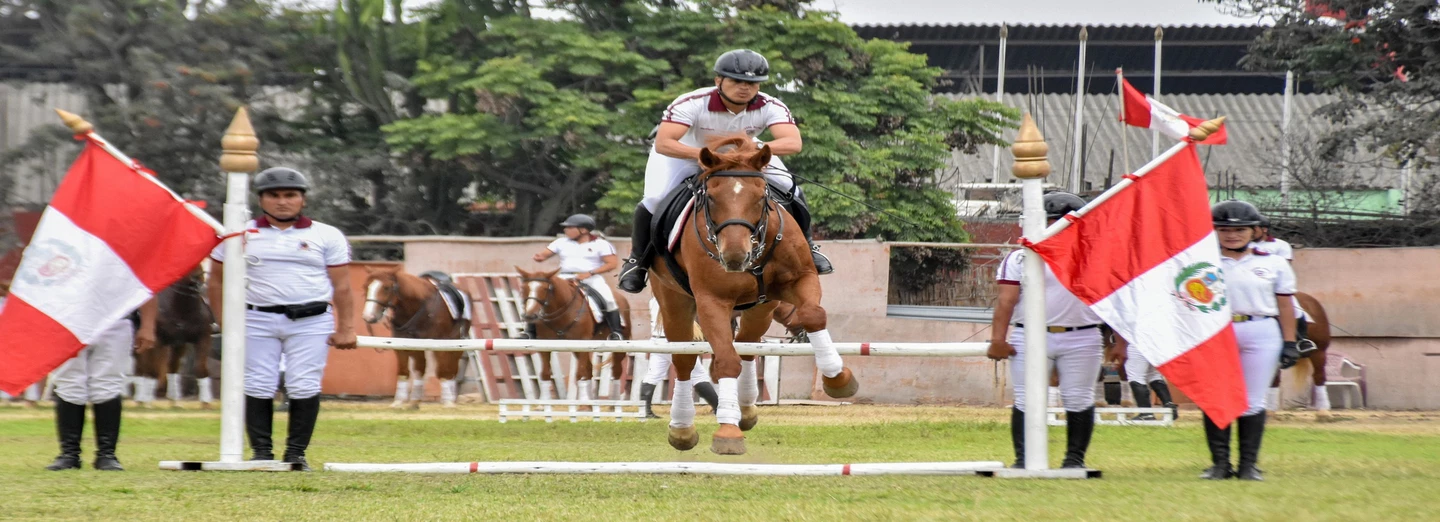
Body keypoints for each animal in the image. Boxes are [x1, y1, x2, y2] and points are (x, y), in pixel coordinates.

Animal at [134, 267, 215, 408]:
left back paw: (174, 400)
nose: (198, 279)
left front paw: (205, 402)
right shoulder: (157, 341)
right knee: (142, 367)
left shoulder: (202, 339)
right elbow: (154, 371)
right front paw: (148, 402)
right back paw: (142, 399)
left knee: (172, 366)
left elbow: (201, 369)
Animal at [362, 266, 473, 409]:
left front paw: (448, 402)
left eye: (386, 287)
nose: (368, 317)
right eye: (366, 286)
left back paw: (450, 398)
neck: (419, 307)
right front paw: (398, 402)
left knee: (451, 368)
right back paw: (415, 401)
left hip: (456, 343)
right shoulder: (402, 344)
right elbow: (404, 371)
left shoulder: (442, 343)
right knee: (421, 368)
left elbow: (443, 371)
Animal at [515, 267, 632, 403]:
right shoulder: (544, 345)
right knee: (589, 370)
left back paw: (614, 402)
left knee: (616, 371)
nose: (529, 316)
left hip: (618, 347)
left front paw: (583, 401)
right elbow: (545, 373)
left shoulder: (582, 342)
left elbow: (580, 373)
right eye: (523, 288)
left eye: (545, 289)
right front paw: (543, 402)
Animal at [648, 135, 856, 455]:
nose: (735, 256)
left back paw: (745, 408)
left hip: (762, 307)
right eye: (711, 198)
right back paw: (683, 428)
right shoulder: (712, 302)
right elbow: (725, 360)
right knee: (685, 360)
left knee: (747, 344)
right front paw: (727, 431)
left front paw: (838, 378)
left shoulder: (799, 280)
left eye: (760, 197)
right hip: (674, 302)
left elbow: (813, 314)